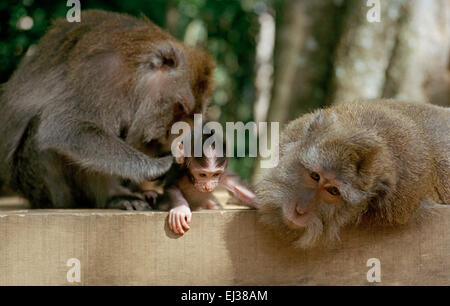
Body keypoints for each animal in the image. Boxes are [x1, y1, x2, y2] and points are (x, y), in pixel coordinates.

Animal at [0, 10, 214, 210]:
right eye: (180, 106)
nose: (170, 134)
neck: (133, 71)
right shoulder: (102, 73)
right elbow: (63, 127)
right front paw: (161, 165)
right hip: (40, 186)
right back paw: (114, 197)